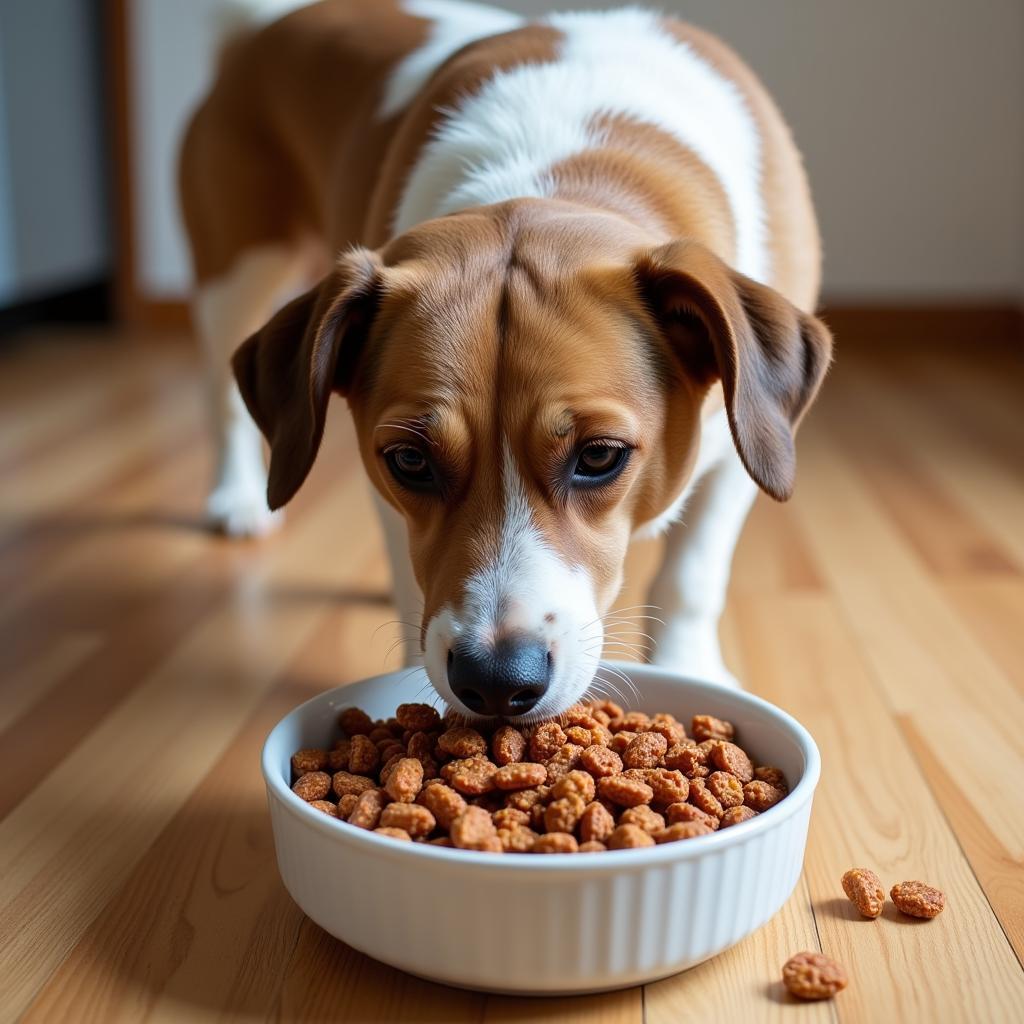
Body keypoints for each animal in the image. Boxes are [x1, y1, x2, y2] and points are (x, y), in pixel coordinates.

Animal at [178, 0, 831, 720]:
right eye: (410, 460)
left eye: (599, 457)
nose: (494, 680)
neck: (561, 171)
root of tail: (263, 28)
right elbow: (410, 577)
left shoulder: (743, 444)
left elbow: (693, 573)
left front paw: (689, 667)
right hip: (237, 271)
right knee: (220, 392)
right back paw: (236, 496)